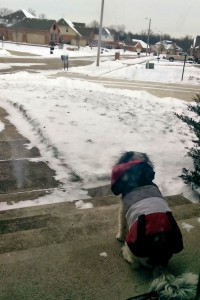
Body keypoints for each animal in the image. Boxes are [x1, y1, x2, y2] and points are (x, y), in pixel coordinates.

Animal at [111, 152, 198, 300]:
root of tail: (159, 259)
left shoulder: (122, 209)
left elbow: (121, 224)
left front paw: (119, 236)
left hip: (132, 245)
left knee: (135, 264)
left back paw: (125, 253)